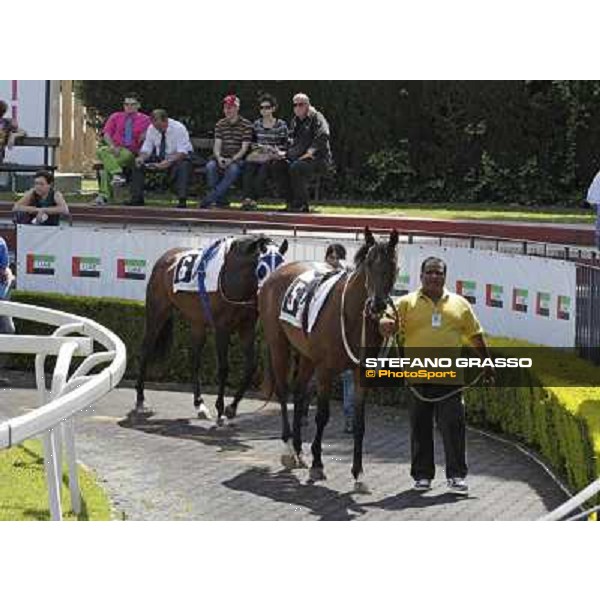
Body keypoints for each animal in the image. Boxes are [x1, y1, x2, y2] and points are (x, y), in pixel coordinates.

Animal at [135, 232, 288, 424]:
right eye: (262, 269)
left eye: (282, 267)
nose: (270, 293)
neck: (234, 277)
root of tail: (164, 259)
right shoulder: (222, 328)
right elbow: (223, 368)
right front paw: (221, 409)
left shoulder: (247, 327)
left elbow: (251, 366)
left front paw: (231, 408)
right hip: (157, 312)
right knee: (146, 350)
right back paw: (140, 400)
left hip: (197, 322)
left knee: (194, 360)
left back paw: (199, 404)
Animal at [258, 227, 396, 490]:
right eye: (369, 264)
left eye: (393, 265)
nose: (377, 306)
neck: (351, 316)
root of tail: (275, 274)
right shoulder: (325, 371)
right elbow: (322, 416)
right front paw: (317, 465)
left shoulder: (361, 373)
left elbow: (360, 423)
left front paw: (358, 473)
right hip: (279, 345)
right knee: (283, 391)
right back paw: (288, 449)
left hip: (306, 355)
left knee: (299, 391)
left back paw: (299, 450)